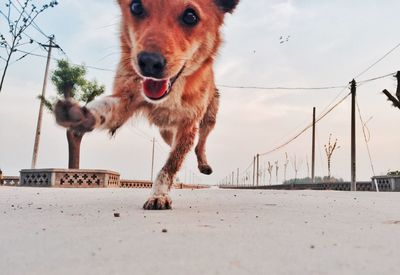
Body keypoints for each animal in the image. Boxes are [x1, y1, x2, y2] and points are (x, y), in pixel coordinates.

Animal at [54, 0, 239, 210]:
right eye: (135, 7)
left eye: (191, 16)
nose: (149, 62)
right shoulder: (126, 99)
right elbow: (104, 108)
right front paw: (81, 114)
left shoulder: (189, 123)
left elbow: (170, 165)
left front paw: (159, 195)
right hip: (166, 130)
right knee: (175, 142)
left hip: (209, 118)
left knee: (200, 142)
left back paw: (203, 163)